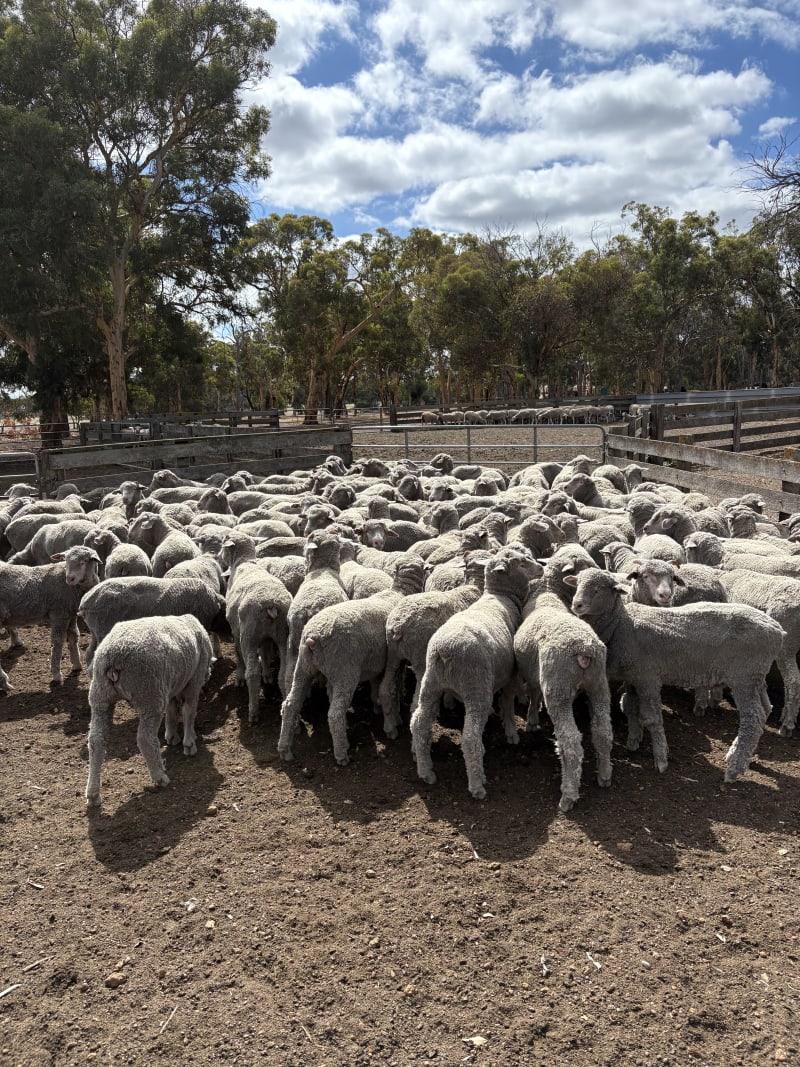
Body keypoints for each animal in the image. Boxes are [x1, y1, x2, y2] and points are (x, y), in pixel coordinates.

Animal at [0, 545, 102, 691]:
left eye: (84, 561)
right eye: (66, 560)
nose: (69, 578)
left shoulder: (70, 614)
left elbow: (74, 636)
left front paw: (77, 665)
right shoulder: (59, 614)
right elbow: (58, 641)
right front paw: (56, 674)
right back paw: (5, 682)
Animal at [84, 615, 213, 807]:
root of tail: (113, 657)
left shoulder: (169, 685)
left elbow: (171, 710)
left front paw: (171, 736)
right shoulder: (193, 681)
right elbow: (189, 711)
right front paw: (189, 742)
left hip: (100, 696)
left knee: (96, 741)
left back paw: (92, 794)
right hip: (149, 694)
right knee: (144, 738)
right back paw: (160, 777)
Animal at [278, 555, 426, 764]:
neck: (398, 593)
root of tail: (313, 637)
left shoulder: (376, 663)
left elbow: (378, 687)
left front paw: (378, 707)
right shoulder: (396, 662)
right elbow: (393, 689)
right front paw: (394, 720)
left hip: (304, 666)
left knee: (290, 704)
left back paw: (285, 749)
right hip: (345, 672)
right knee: (335, 714)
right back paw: (341, 753)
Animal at [410, 545, 543, 799]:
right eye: (522, 563)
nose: (541, 567)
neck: (500, 596)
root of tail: (445, 651)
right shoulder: (510, 675)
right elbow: (508, 703)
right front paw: (511, 732)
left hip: (430, 684)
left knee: (419, 724)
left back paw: (425, 771)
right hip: (476, 687)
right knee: (470, 738)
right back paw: (477, 784)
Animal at [567, 568, 785, 781]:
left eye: (600, 588)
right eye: (577, 583)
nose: (576, 605)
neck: (621, 624)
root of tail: (777, 630)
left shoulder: (648, 677)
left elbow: (652, 718)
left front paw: (661, 759)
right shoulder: (633, 677)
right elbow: (629, 706)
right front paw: (634, 740)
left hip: (744, 677)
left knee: (753, 719)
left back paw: (733, 769)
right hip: (757, 676)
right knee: (766, 708)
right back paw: (741, 756)